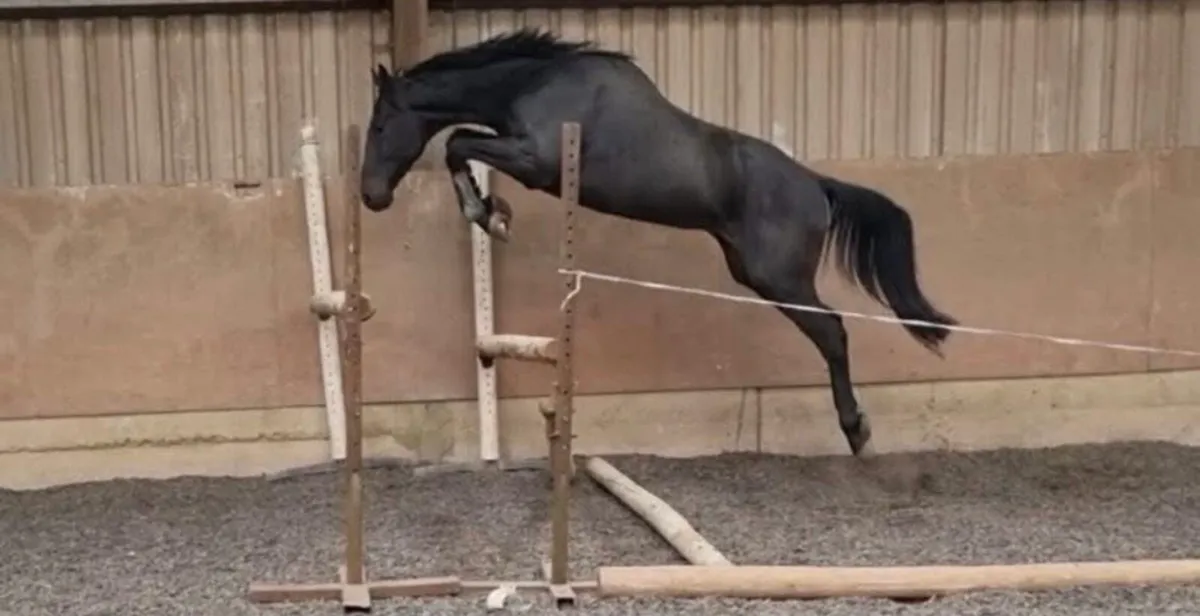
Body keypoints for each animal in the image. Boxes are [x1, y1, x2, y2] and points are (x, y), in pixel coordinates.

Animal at [359, 28, 958, 458]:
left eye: (381, 127)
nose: (371, 196)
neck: (534, 83)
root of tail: (816, 185)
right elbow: (461, 143)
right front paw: (492, 213)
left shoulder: (536, 160)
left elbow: (459, 143)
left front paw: (489, 215)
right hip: (752, 272)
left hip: (780, 279)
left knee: (833, 332)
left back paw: (857, 432)